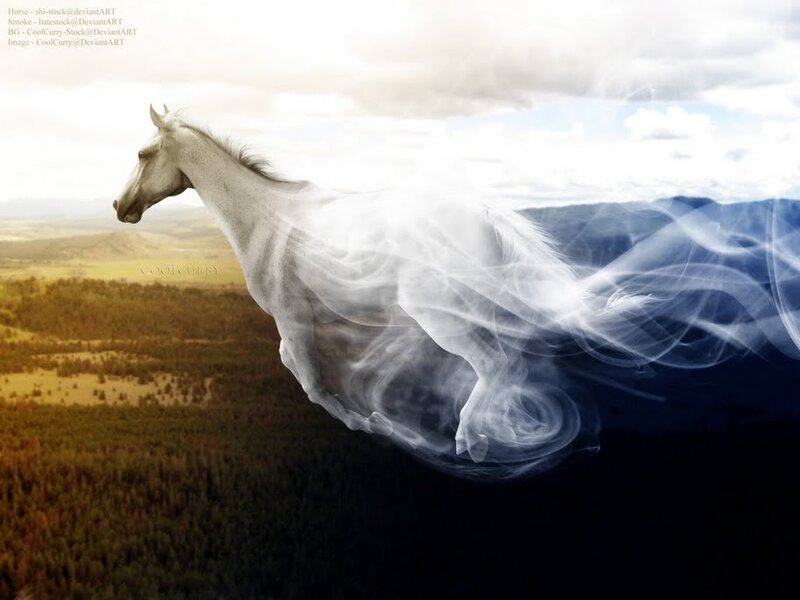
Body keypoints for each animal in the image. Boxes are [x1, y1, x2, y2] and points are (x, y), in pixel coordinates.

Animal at [114, 105, 800, 480]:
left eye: (144, 152)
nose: (120, 209)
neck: (266, 219)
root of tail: (484, 215)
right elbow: (318, 373)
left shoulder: (291, 318)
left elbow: (308, 379)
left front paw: (370, 424)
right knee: (512, 361)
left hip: (440, 313)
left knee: (496, 363)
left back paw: (472, 441)